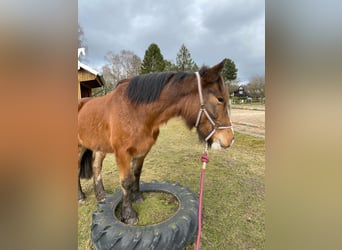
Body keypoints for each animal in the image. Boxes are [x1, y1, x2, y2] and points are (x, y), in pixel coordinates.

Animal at [77, 60, 234, 225]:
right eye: (220, 99)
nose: (230, 139)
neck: (135, 110)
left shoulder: (142, 151)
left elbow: (136, 174)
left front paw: (137, 198)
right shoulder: (122, 153)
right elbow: (126, 181)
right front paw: (129, 214)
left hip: (99, 146)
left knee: (96, 167)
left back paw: (101, 195)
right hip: (79, 147)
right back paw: (81, 196)